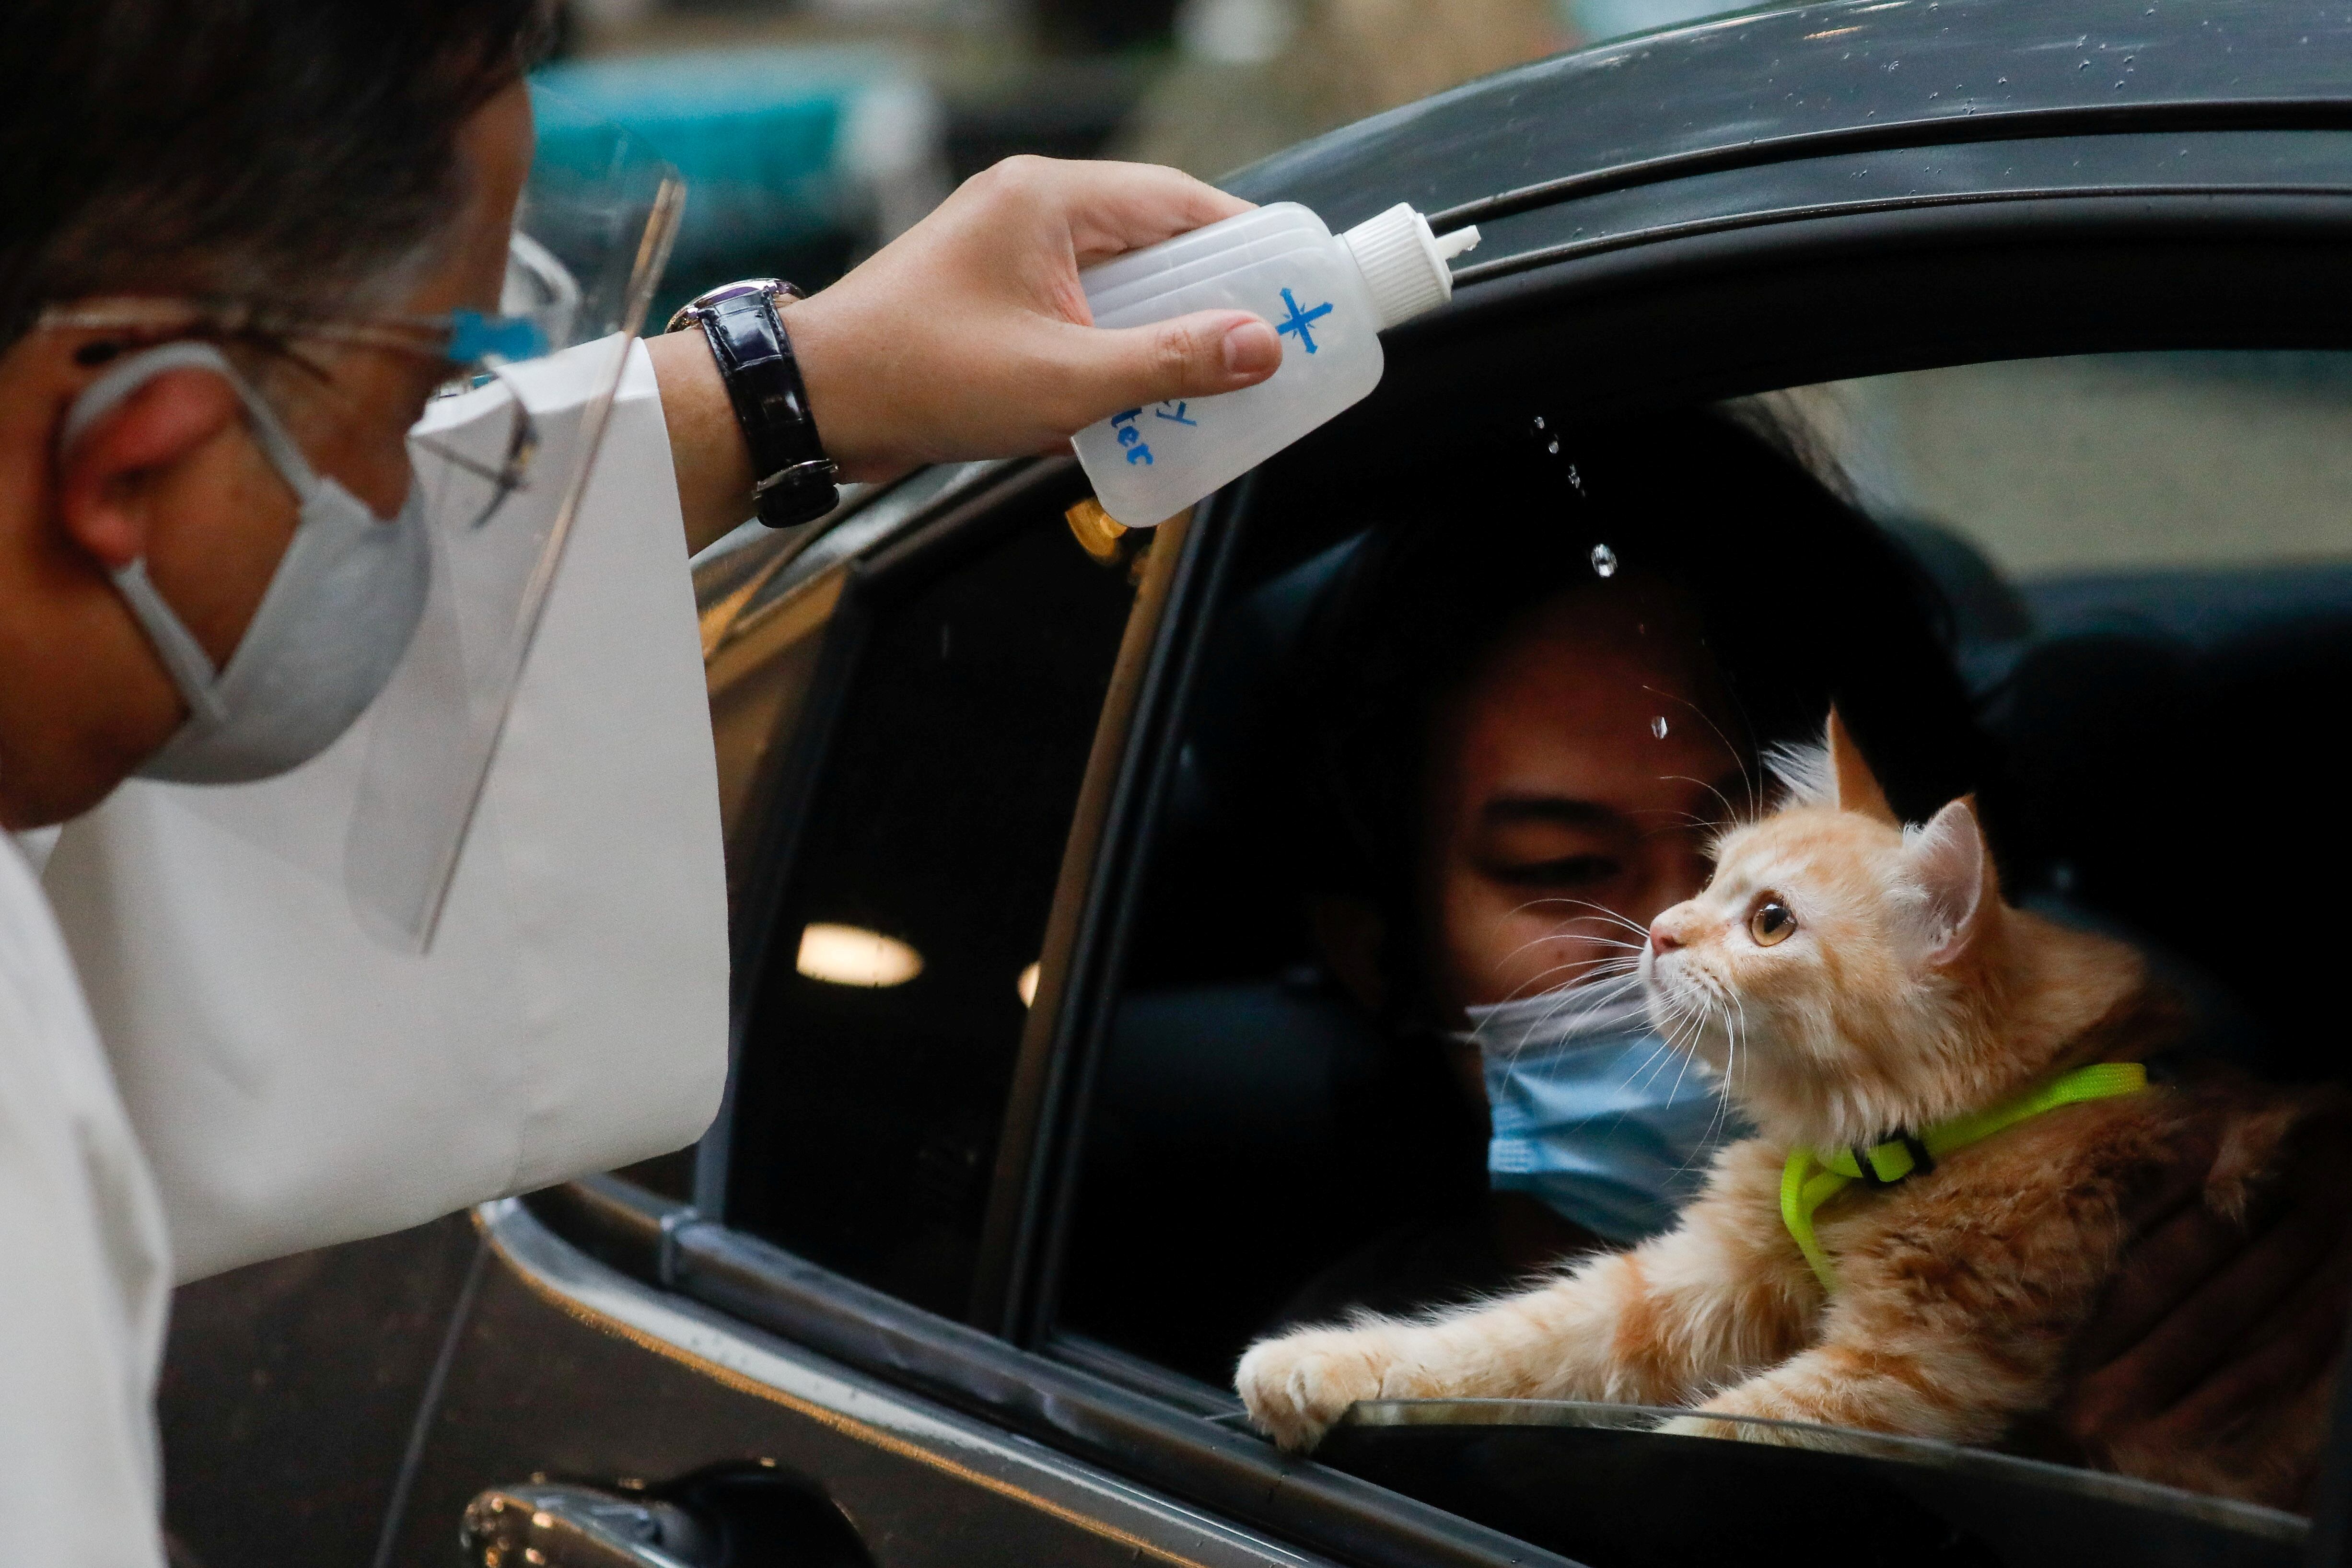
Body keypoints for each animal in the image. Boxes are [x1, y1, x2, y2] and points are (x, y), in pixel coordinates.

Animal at [1242, 710, 2324, 1504]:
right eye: (1709, 878)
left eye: (1769, 923)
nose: (1660, 933)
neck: (1886, 1145)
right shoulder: (1695, 1280)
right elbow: (1507, 1338)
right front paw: (1322, 1363)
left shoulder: (1914, 1371)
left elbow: (1704, 1433)